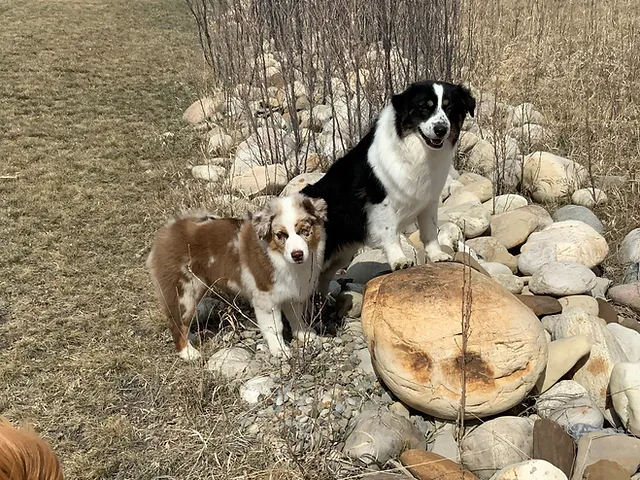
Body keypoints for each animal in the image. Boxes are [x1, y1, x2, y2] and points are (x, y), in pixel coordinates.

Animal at [302, 80, 476, 294]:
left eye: (449, 108)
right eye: (424, 107)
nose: (441, 129)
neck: (417, 150)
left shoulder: (429, 200)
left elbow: (430, 230)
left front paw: (437, 255)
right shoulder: (380, 201)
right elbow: (391, 233)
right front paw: (399, 260)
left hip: (343, 252)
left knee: (323, 277)